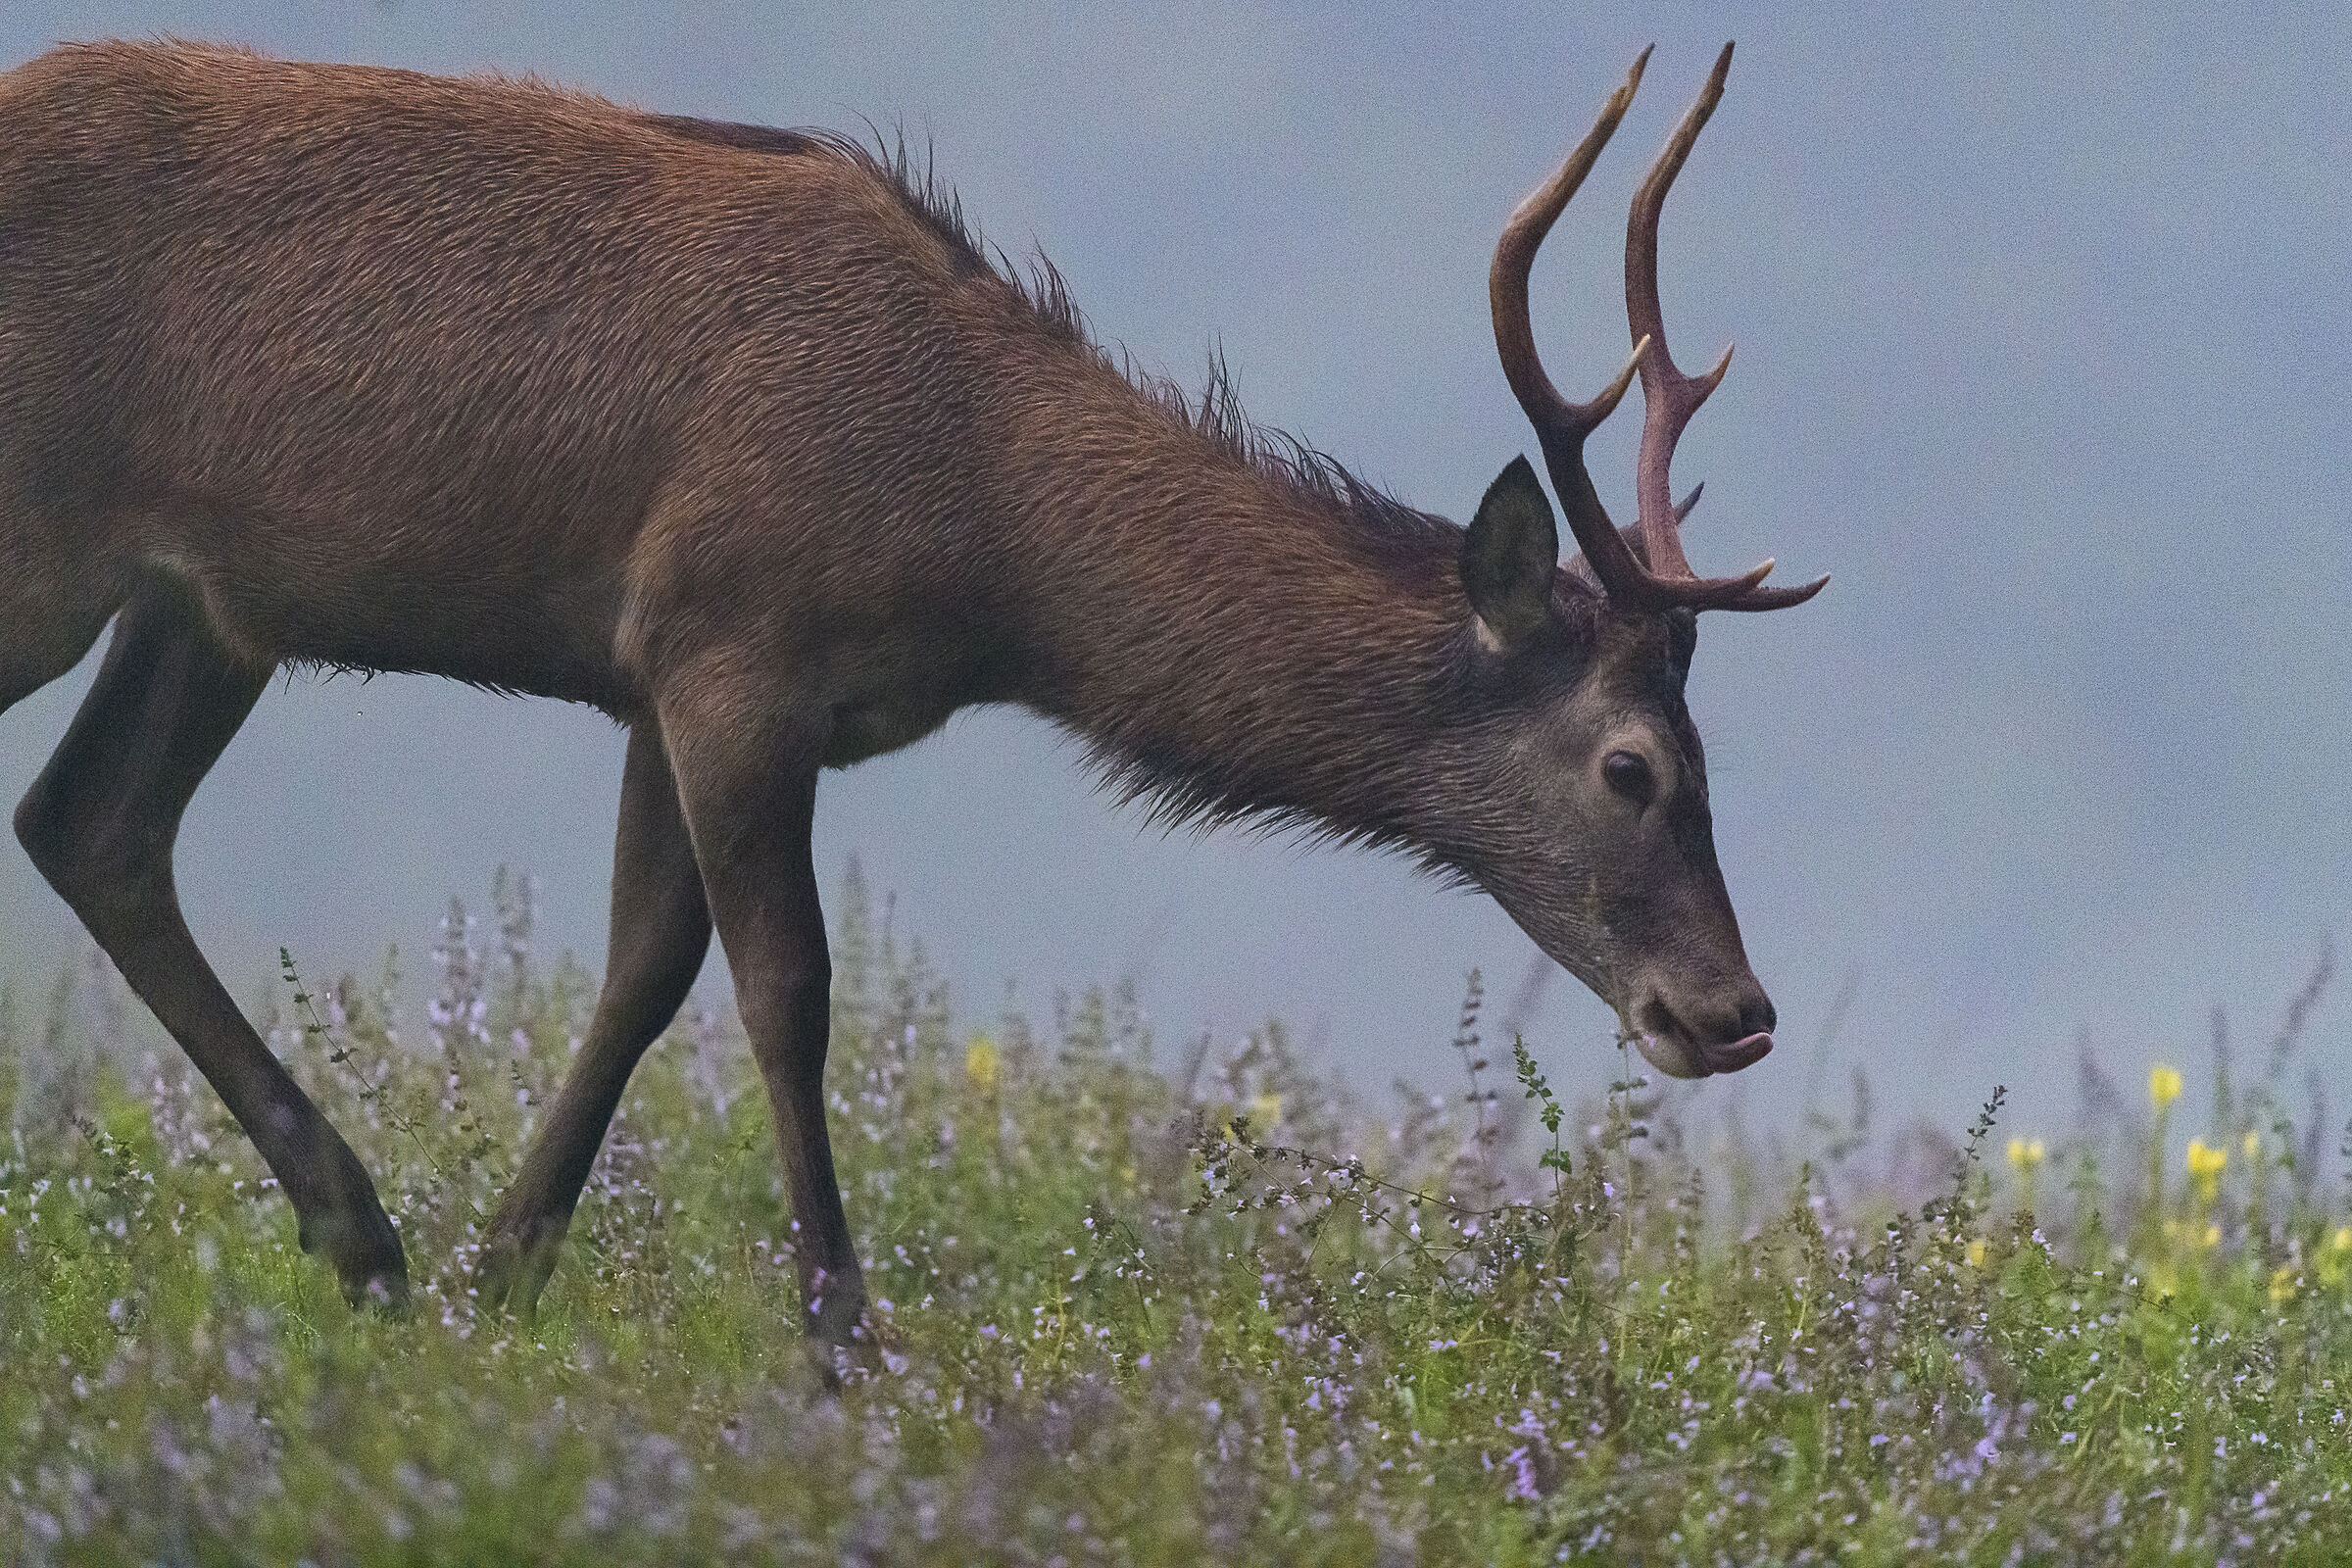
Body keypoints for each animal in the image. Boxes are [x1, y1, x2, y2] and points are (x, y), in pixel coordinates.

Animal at [0, 37, 1821, 1347]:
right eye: (1633, 767)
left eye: (1714, 754)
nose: (1733, 1013)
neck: (987, 549)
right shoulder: (735, 640)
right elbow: (786, 991)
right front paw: (840, 1340)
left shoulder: (664, 673)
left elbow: (641, 970)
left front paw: (500, 1272)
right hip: (52, 547)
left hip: (201, 605)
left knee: (91, 825)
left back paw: (358, 1234)